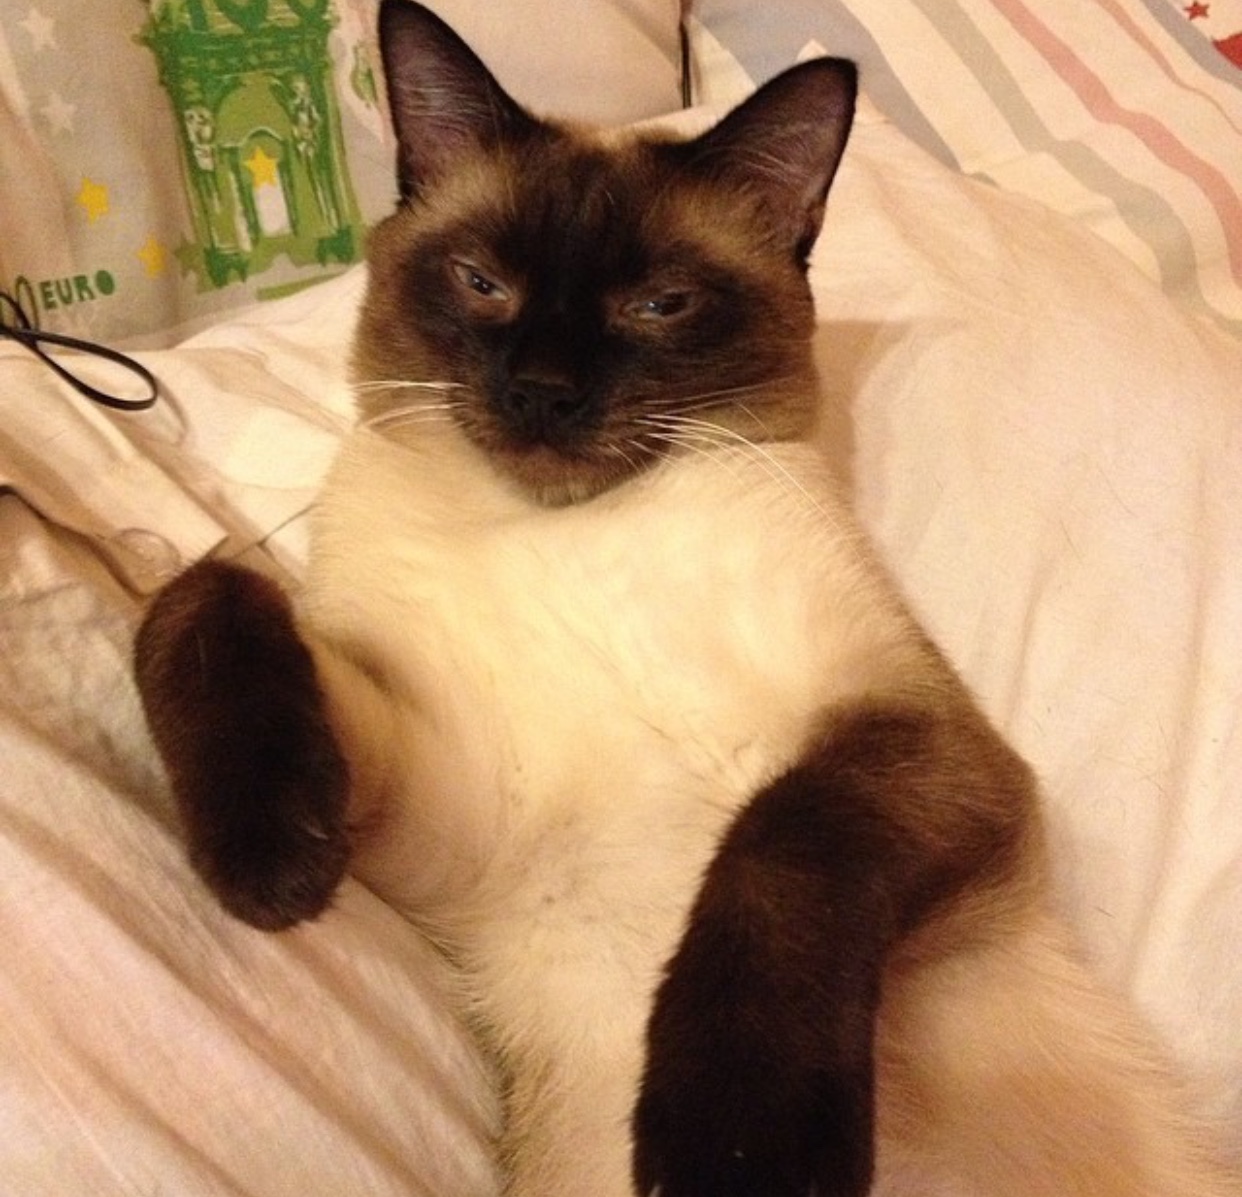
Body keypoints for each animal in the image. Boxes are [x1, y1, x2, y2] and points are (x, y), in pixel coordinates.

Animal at [131, 2, 1237, 1197]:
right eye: (482, 284)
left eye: (659, 305)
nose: (543, 394)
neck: (567, 533)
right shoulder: (457, 811)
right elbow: (204, 580)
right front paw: (270, 869)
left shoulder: (918, 737)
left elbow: (778, 840)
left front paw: (737, 1146)